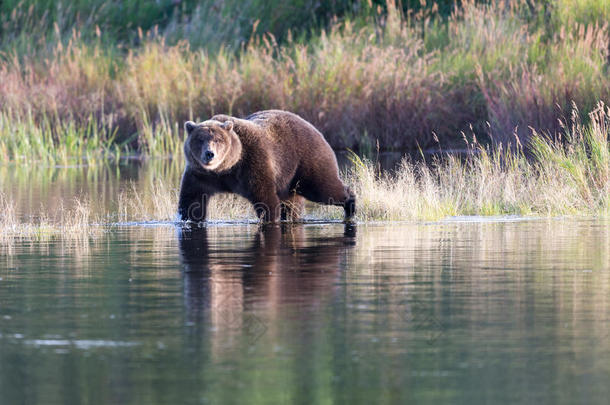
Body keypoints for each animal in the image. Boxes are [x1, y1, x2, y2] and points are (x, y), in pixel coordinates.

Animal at [176, 109, 354, 221]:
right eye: (200, 139)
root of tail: (315, 129)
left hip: (306, 161)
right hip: (289, 180)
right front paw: (188, 217)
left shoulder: (252, 163)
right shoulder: (200, 175)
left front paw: (269, 218)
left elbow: (265, 198)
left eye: (218, 140)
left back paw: (350, 205)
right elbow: (192, 201)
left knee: (324, 189)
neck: (225, 169)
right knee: (292, 204)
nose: (209, 154)